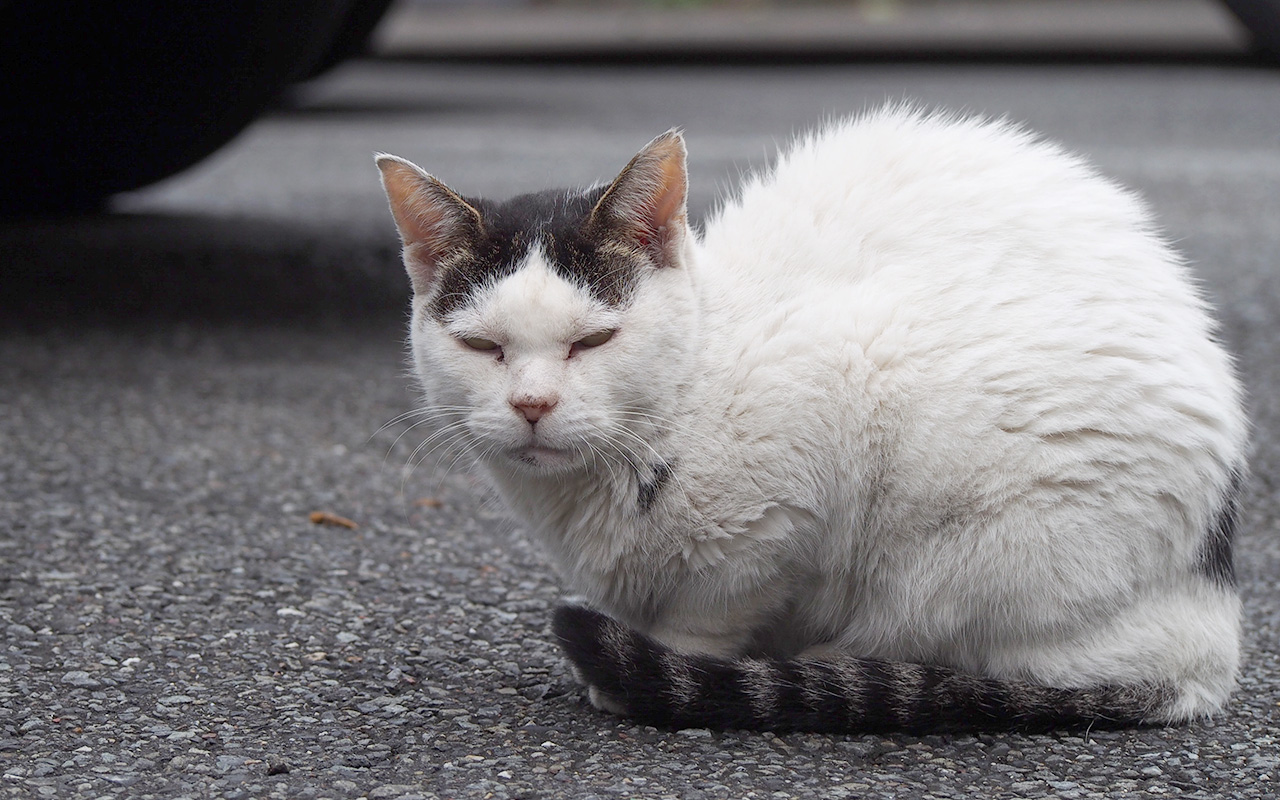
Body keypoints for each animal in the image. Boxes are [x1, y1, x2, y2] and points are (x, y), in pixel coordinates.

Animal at [373, 104, 1244, 732]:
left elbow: (716, 602)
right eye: (482, 346)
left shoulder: (802, 466)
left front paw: (665, 664)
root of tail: (1209, 628)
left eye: (593, 340)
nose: (532, 404)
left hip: (969, 531)